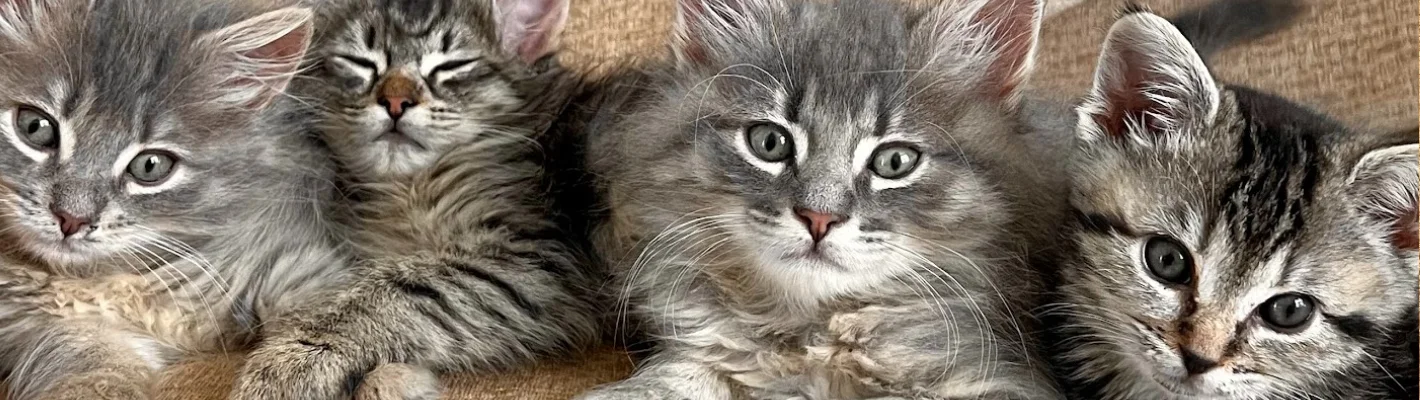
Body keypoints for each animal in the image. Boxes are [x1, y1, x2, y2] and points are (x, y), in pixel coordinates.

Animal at [0, 0, 346, 400]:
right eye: (35, 127)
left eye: (151, 166)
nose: (72, 218)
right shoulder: (59, 331)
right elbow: (95, 373)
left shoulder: (295, 263)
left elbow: (328, 322)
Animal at [576, 0, 1067, 397]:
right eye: (769, 142)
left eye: (895, 161)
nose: (818, 217)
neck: (813, 333)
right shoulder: (708, 355)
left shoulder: (998, 374)